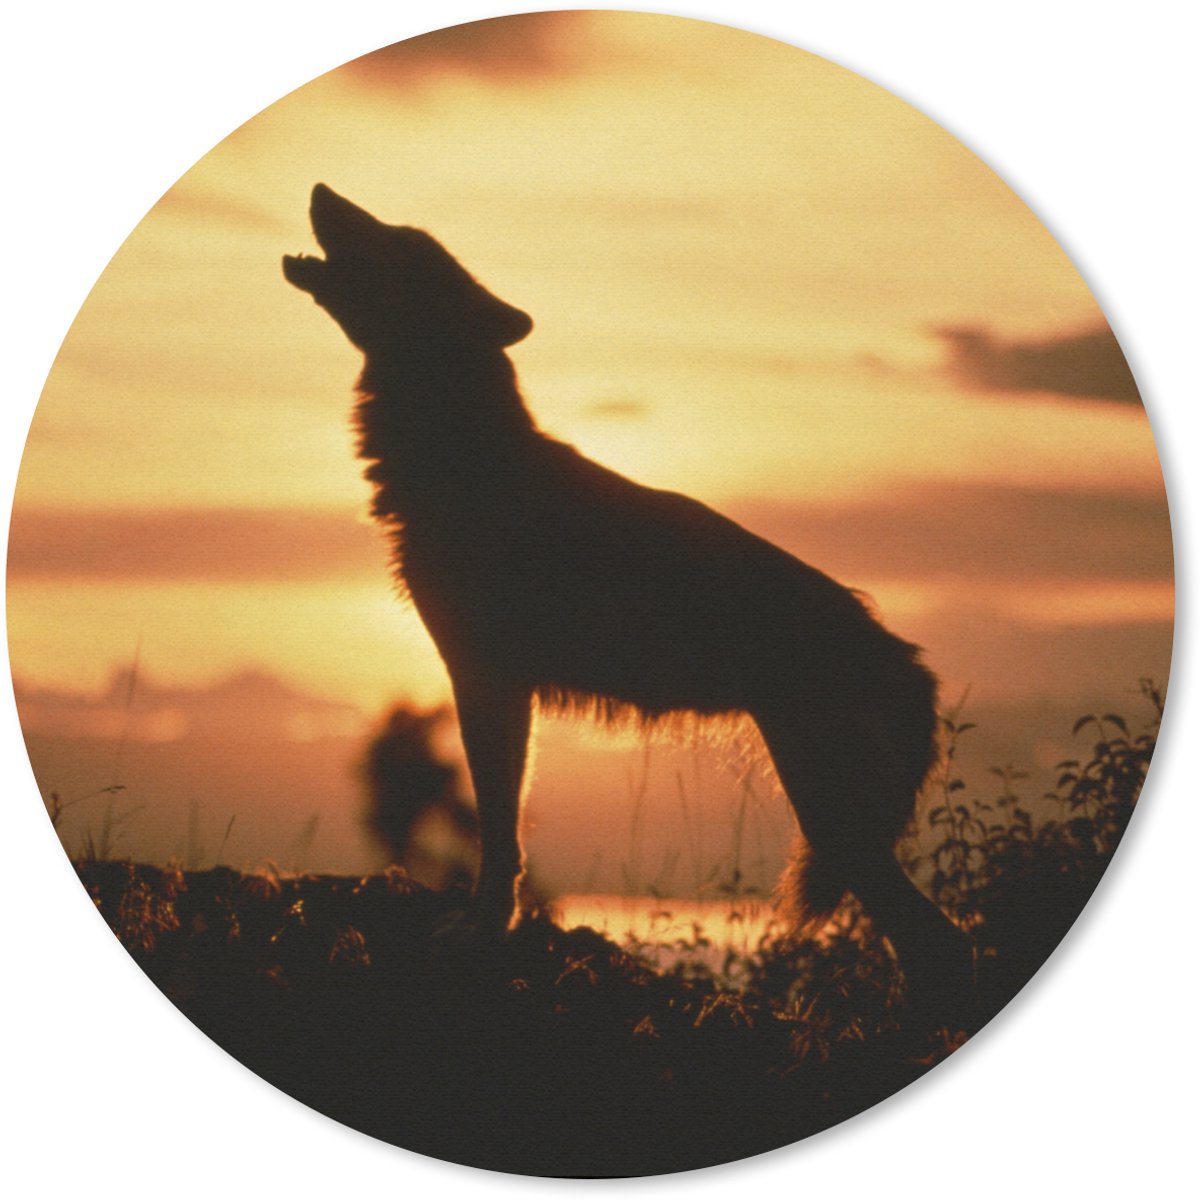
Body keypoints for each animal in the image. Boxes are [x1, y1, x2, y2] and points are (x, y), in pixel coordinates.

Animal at [284, 184, 973, 1015]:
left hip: (827, 814)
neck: (461, 454)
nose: (322, 190)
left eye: (401, 241)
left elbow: (497, 832)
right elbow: (506, 831)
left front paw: (481, 934)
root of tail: (910, 661)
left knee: (940, 941)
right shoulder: (501, 687)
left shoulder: (484, 678)